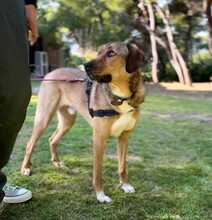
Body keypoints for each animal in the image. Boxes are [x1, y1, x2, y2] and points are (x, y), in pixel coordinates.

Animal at [20, 41, 145, 203]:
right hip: (44, 118)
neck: (121, 96)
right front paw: (100, 195)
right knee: (30, 143)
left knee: (52, 139)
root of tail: (50, 73)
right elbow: (98, 172)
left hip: (67, 122)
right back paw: (25, 168)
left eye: (111, 53)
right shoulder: (99, 138)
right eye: (99, 52)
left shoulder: (124, 137)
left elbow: (122, 166)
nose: (85, 65)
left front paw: (125, 185)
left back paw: (57, 162)